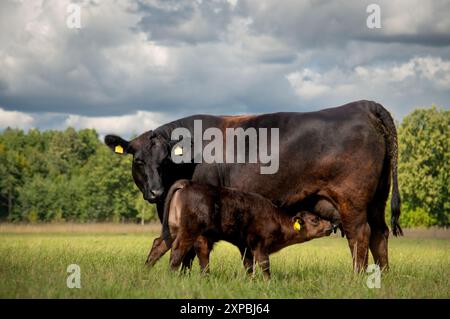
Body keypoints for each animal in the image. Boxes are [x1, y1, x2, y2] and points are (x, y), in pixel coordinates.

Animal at [146, 181, 332, 278]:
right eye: (315, 220)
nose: (332, 226)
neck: (277, 220)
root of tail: (188, 183)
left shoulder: (245, 247)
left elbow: (249, 266)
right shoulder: (259, 244)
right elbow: (264, 264)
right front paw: (268, 282)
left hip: (173, 229)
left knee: (159, 245)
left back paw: (146, 270)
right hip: (189, 230)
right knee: (178, 250)